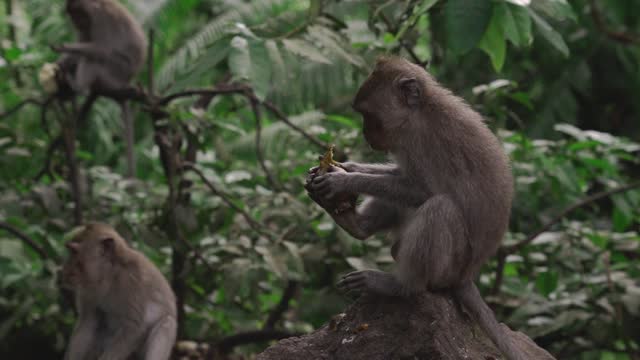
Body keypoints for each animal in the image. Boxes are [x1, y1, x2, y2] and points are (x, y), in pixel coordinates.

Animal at [61, 224, 175, 358]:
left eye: (74, 252)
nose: (65, 269)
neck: (109, 274)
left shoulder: (132, 279)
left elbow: (133, 327)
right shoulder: (88, 287)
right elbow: (87, 320)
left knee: (167, 323)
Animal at [308, 56, 536, 360]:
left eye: (368, 114)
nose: (366, 135)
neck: (421, 111)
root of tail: (466, 276)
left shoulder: (420, 140)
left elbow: (423, 190)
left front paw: (343, 179)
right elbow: (400, 175)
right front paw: (345, 167)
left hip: (450, 266)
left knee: (440, 207)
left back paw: (400, 285)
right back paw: (357, 226)